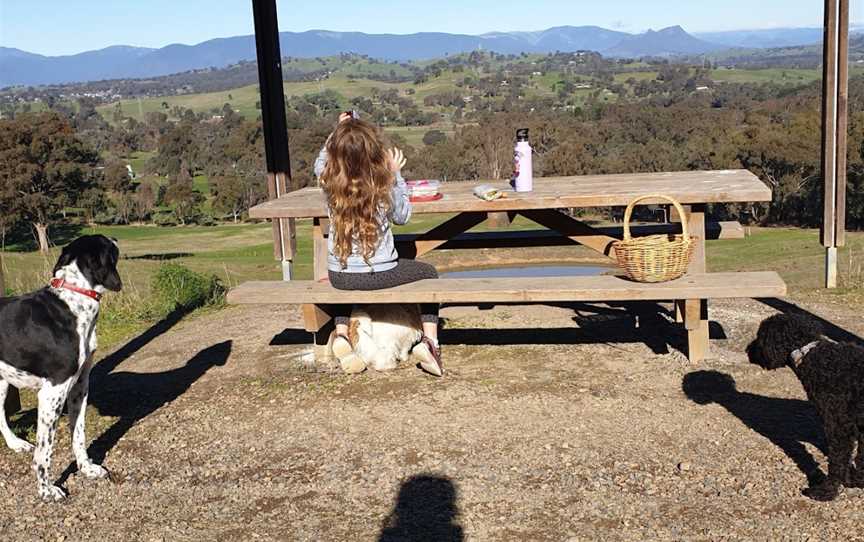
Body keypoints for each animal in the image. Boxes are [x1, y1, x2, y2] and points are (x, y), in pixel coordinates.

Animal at [0, 236, 121, 504]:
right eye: (108, 245)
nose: (116, 238)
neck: (73, 303)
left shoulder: (79, 387)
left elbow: (79, 434)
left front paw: (86, 468)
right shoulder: (52, 393)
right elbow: (45, 451)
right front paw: (46, 490)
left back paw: (15, 444)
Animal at [744, 312, 860, 504]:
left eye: (760, 336)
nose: (747, 350)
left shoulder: (838, 428)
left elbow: (837, 462)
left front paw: (825, 492)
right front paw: (856, 480)